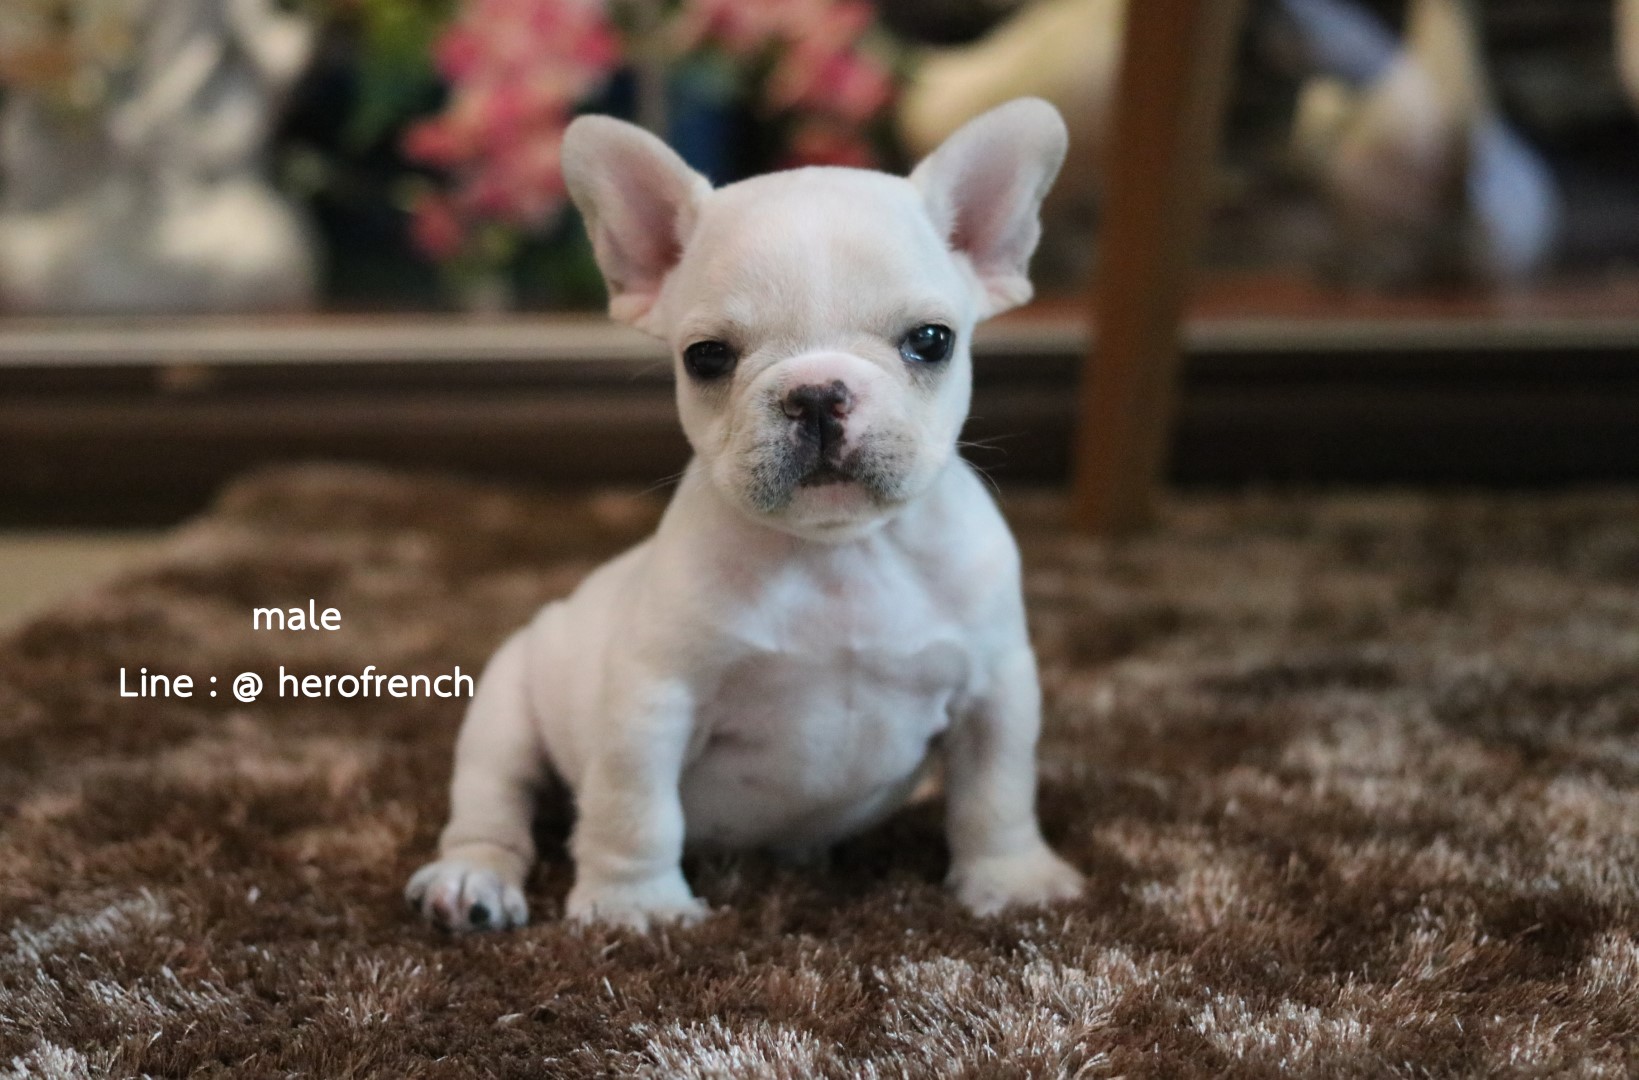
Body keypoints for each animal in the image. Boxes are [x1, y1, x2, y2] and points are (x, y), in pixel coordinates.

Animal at [406, 97, 1084, 931]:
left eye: (931, 341)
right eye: (706, 356)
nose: (817, 392)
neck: (837, 556)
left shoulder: (995, 688)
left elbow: (997, 791)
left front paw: (1013, 881)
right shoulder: (651, 698)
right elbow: (635, 807)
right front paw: (637, 907)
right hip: (505, 704)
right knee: (493, 801)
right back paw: (472, 880)